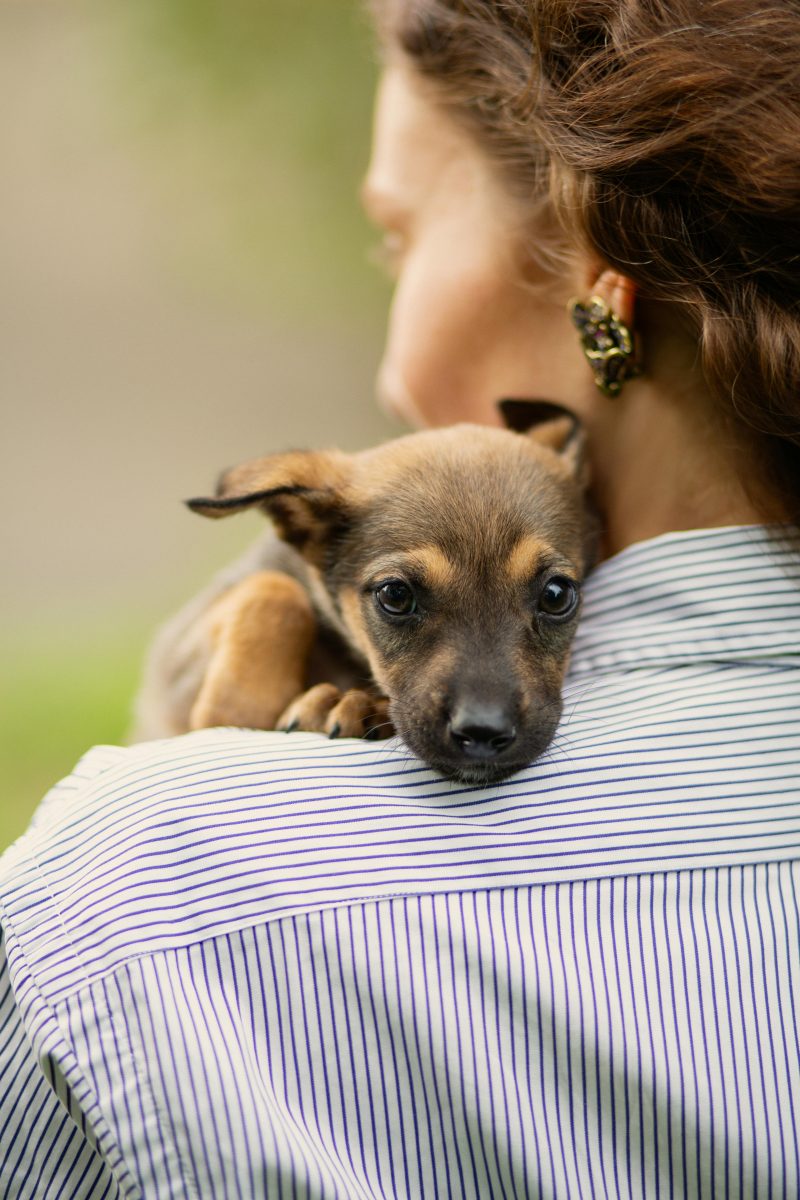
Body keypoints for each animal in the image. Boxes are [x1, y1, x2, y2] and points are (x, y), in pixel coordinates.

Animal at [131, 405, 594, 787]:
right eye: (396, 595)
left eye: (556, 595)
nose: (483, 731)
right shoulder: (172, 667)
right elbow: (276, 591)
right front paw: (247, 711)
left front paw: (352, 705)